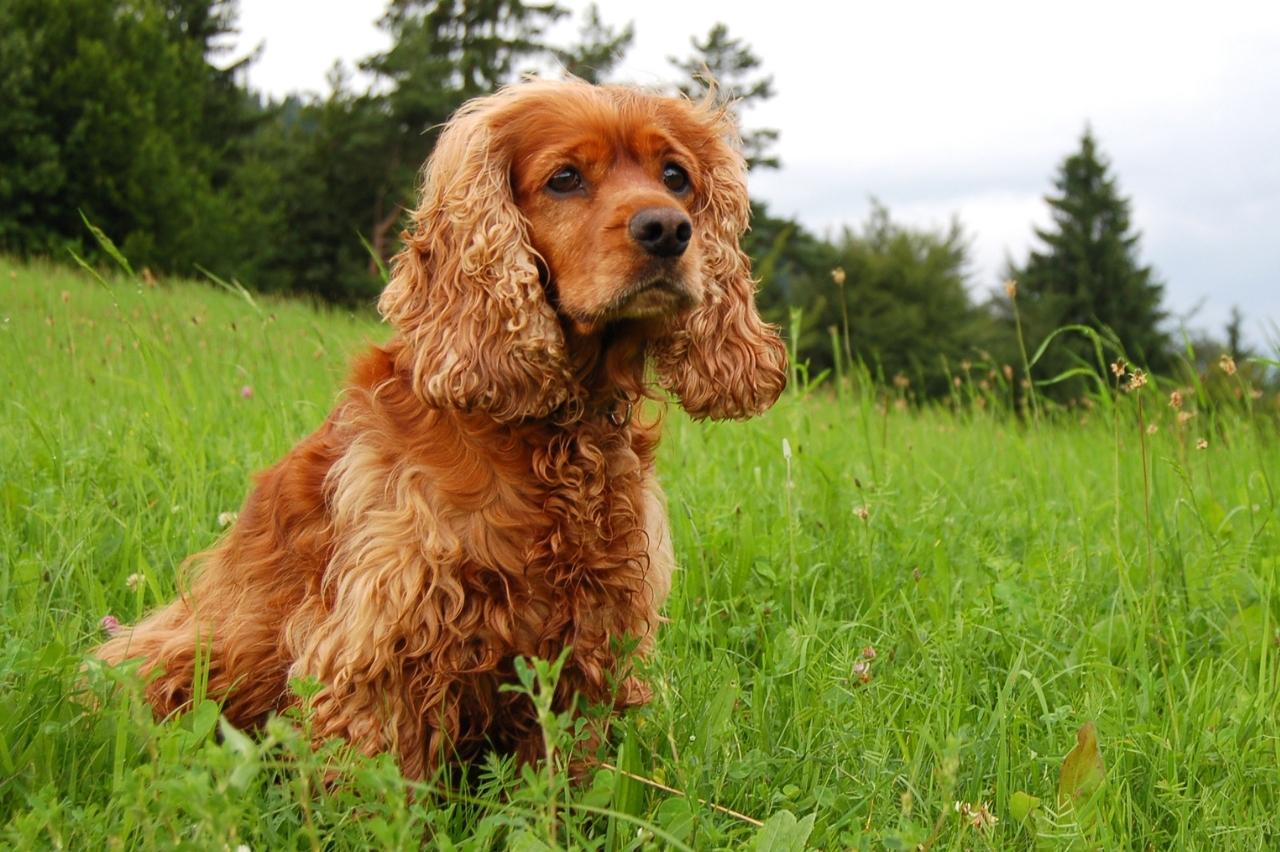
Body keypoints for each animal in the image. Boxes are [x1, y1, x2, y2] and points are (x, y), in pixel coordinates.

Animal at [92, 79, 788, 777]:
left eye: (676, 176)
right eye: (564, 178)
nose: (669, 229)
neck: (555, 430)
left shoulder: (592, 630)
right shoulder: (390, 633)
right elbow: (382, 779)